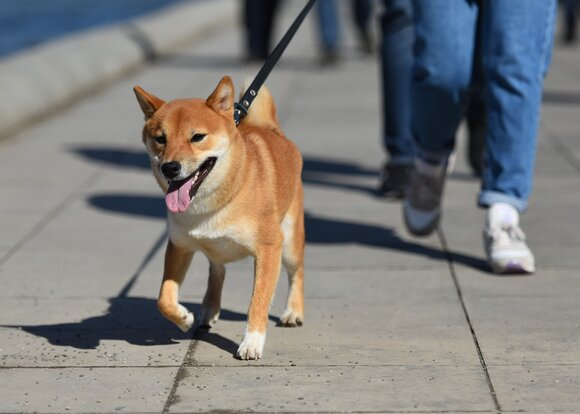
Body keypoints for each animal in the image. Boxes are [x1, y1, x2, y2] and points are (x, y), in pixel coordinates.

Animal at [131, 77, 304, 360]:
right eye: (160, 139)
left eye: (197, 137)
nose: (170, 167)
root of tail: (271, 130)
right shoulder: (179, 245)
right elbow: (163, 298)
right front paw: (183, 318)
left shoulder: (269, 247)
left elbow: (258, 301)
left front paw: (252, 342)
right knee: (217, 271)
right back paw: (208, 310)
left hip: (289, 243)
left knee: (296, 273)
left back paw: (293, 313)